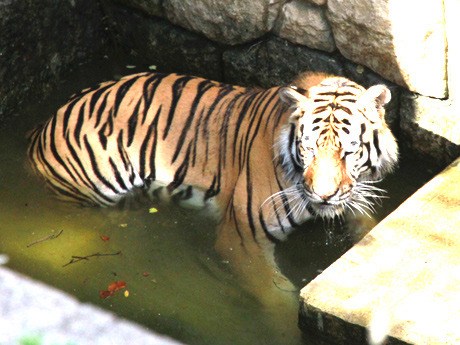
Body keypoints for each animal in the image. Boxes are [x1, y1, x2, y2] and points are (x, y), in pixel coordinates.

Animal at [27, 69, 398, 310]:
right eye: (308, 148)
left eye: (348, 151)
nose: (323, 195)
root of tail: (42, 127)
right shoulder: (242, 240)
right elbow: (280, 299)